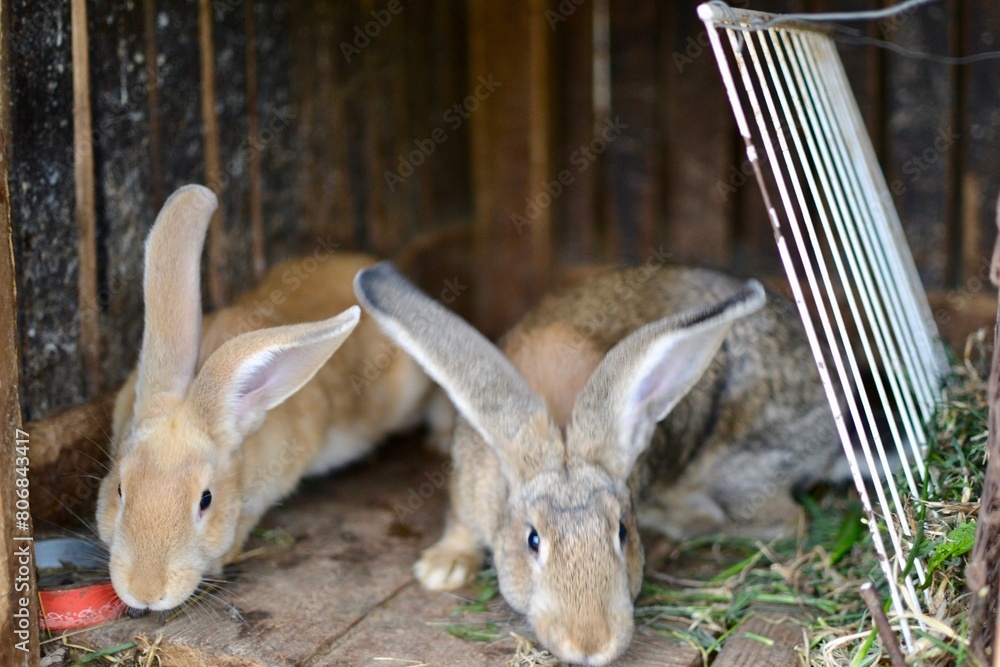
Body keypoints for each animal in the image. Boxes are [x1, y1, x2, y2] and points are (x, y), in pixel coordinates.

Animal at [354, 261, 844, 666]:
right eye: (533, 540)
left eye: (622, 533)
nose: (591, 644)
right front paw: (442, 569)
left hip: (741, 466)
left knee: (777, 520)